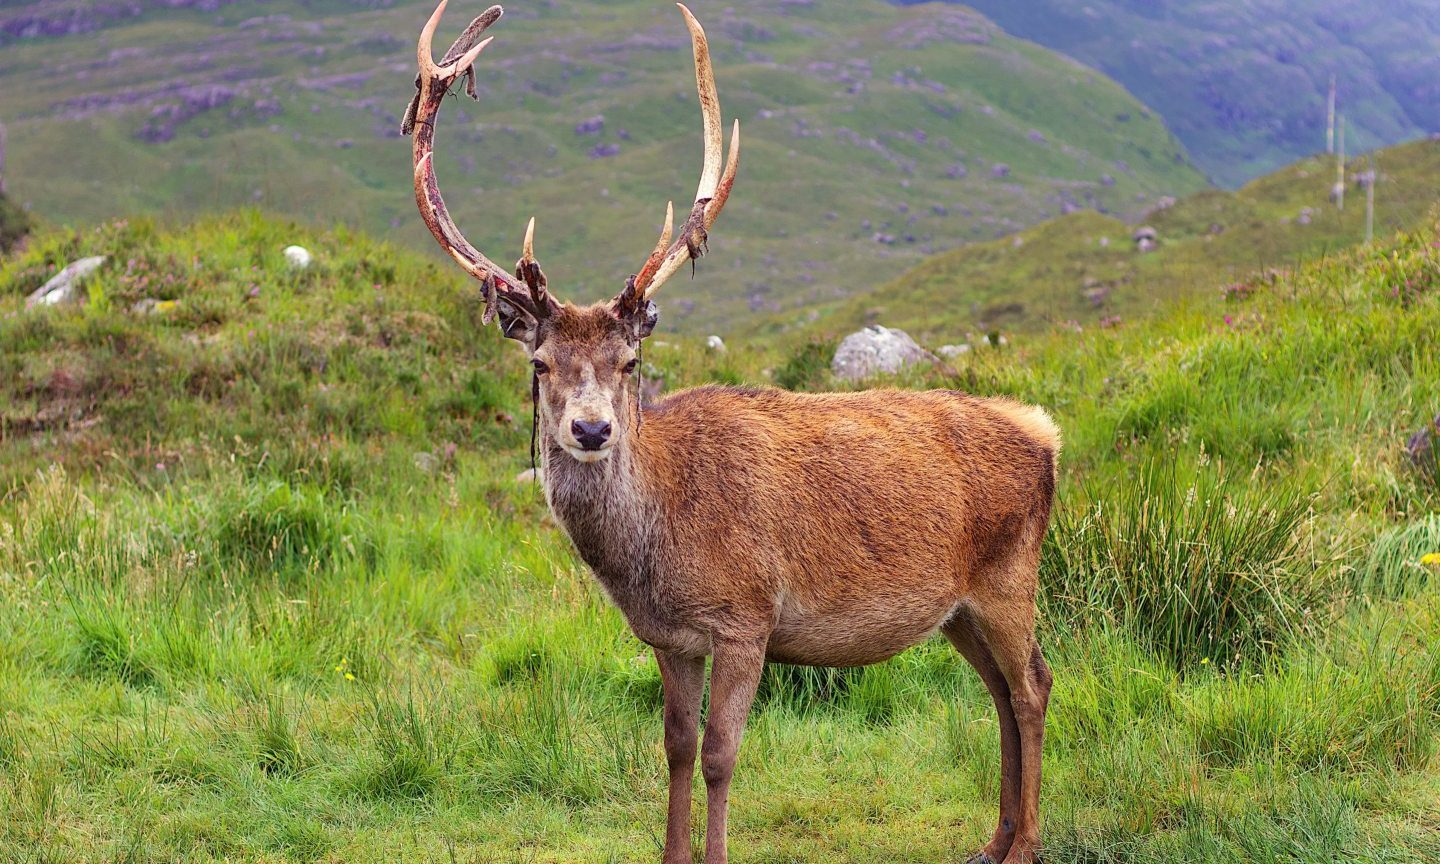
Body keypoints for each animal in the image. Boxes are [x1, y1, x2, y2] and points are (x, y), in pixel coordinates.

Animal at [406, 3, 1059, 858]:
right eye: (541, 362)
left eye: (629, 360)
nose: (591, 429)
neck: (655, 553)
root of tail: (1047, 434)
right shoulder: (669, 637)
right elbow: (676, 747)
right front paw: (672, 850)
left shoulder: (747, 618)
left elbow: (721, 753)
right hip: (959, 608)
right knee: (1000, 692)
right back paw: (994, 838)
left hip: (1011, 575)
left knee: (1033, 685)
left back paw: (1026, 843)